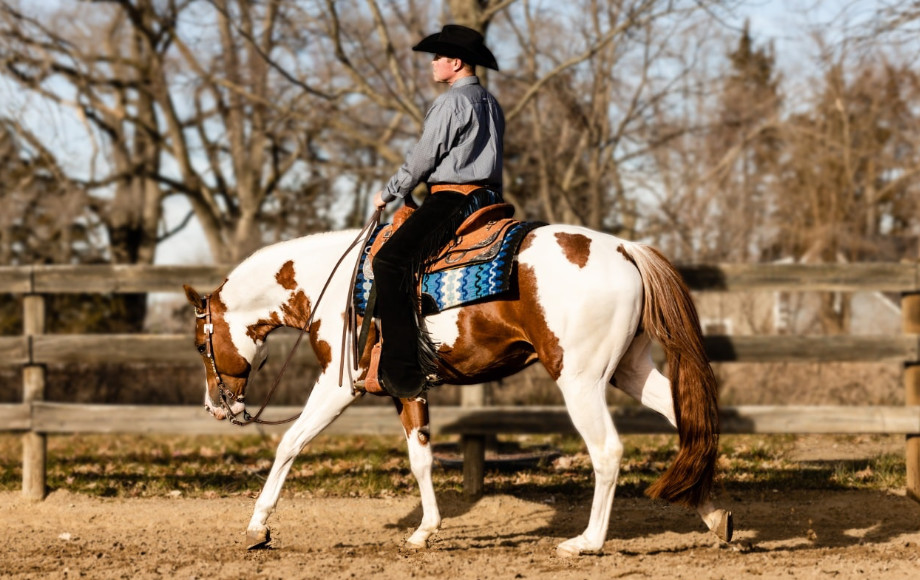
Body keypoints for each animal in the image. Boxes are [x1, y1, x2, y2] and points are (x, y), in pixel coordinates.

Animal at [183, 223, 733, 557]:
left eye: (198, 344)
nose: (214, 407)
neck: (332, 284)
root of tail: (624, 249)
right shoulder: (405, 389)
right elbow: (421, 459)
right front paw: (424, 531)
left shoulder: (338, 387)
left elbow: (289, 443)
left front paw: (258, 526)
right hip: (629, 370)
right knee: (688, 424)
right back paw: (714, 516)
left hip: (581, 380)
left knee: (608, 450)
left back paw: (587, 542)